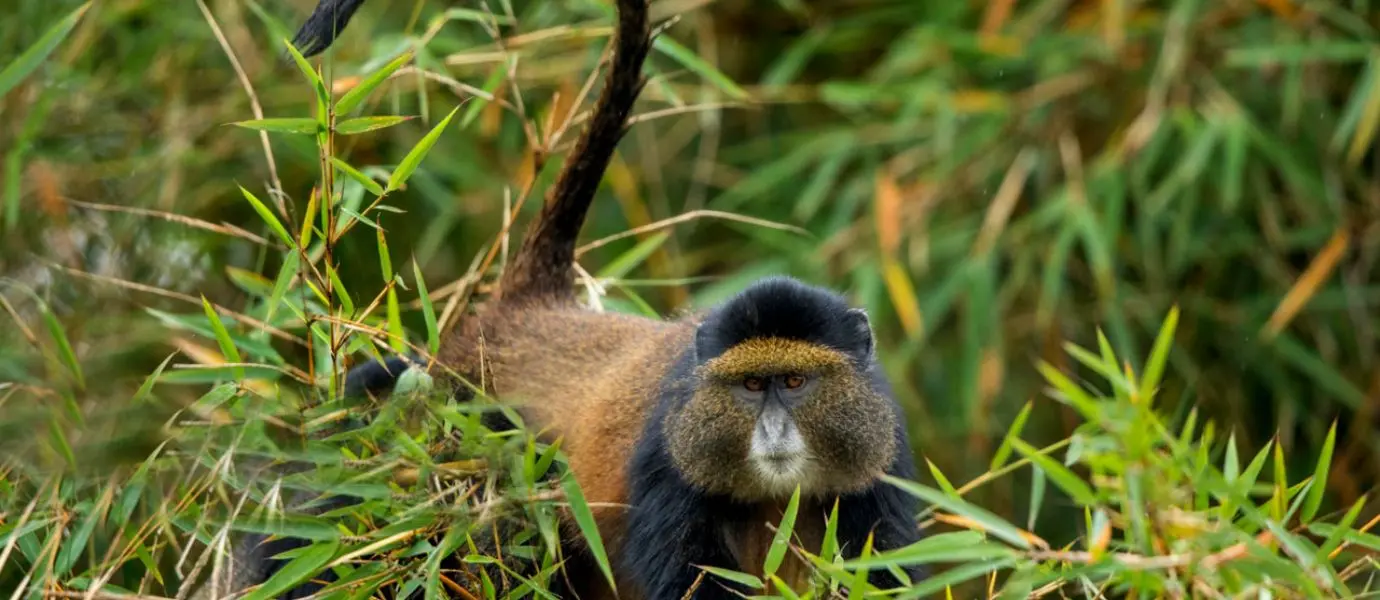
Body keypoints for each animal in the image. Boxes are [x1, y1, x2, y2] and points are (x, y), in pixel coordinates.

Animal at [189, 0, 929, 597]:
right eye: (751, 387)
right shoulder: (666, 464)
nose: (773, 429)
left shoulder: (882, 457)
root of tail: (530, 308)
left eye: (795, 382)